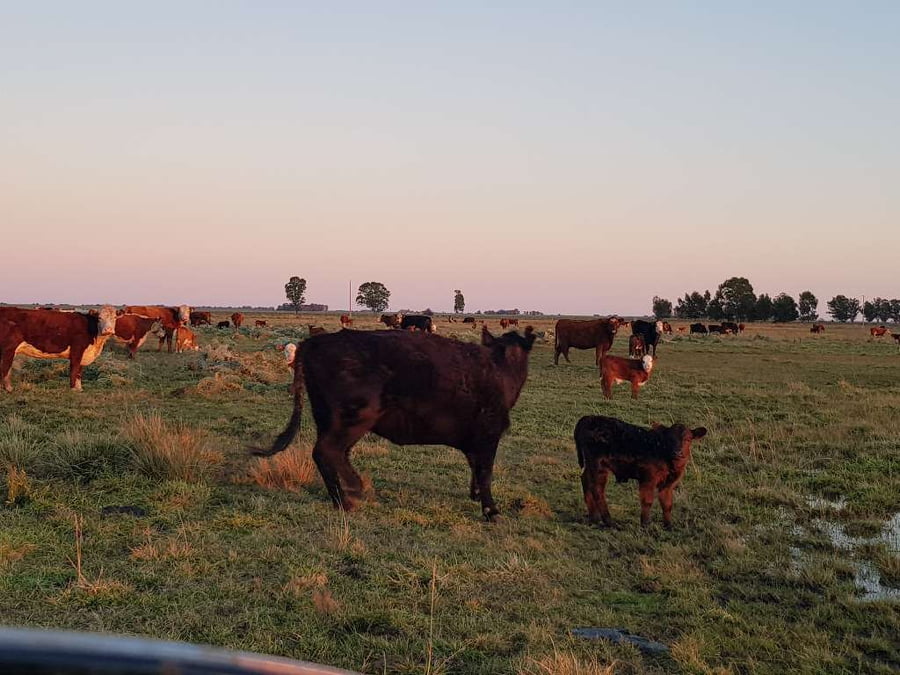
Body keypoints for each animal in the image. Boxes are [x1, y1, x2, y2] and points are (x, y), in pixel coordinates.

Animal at [252, 326, 537, 520]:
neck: (499, 368)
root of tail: (315, 341)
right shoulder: (489, 433)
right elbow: (486, 471)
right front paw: (491, 510)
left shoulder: (474, 440)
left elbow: (475, 468)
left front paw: (475, 494)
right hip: (354, 419)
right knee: (326, 451)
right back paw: (351, 494)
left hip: (329, 419)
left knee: (334, 454)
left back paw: (346, 494)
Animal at [575, 415, 707, 528]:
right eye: (669, 439)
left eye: (688, 439)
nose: (677, 452)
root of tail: (588, 418)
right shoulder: (648, 478)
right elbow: (647, 501)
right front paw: (645, 524)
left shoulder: (668, 484)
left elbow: (667, 504)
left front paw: (668, 526)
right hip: (599, 467)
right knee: (597, 490)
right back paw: (609, 522)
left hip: (591, 466)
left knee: (585, 480)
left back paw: (594, 518)